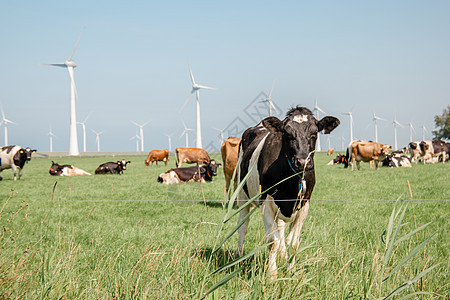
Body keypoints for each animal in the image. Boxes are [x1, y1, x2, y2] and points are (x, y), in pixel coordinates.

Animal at [236, 106, 338, 280]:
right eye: (288, 135)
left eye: (314, 134)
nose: (302, 161)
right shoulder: (266, 203)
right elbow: (272, 241)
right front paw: (272, 274)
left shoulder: (304, 205)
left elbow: (294, 242)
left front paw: (291, 270)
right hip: (243, 195)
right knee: (243, 225)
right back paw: (239, 255)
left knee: (281, 228)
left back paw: (282, 255)